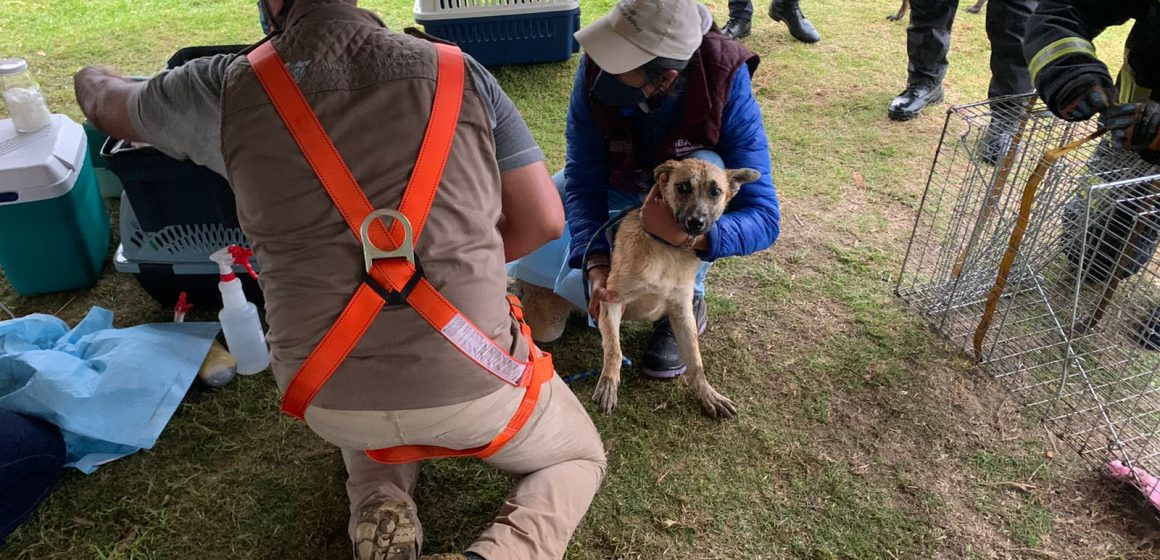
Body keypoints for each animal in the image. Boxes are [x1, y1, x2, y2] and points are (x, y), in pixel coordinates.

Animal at [589, 160, 760, 419]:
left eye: (715, 192)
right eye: (682, 187)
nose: (696, 223)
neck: (667, 249)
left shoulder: (683, 313)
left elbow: (696, 362)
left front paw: (708, 395)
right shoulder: (611, 301)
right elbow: (614, 350)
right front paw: (608, 384)